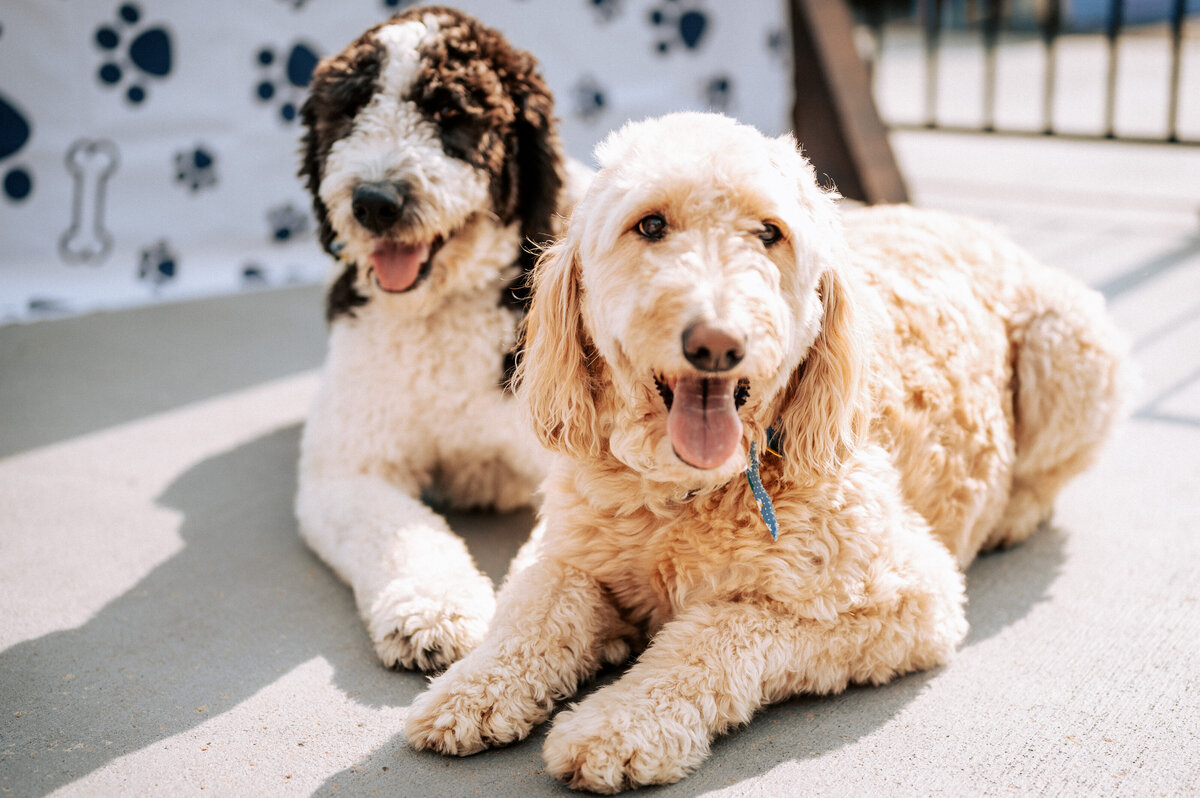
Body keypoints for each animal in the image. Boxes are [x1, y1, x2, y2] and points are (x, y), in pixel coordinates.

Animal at [295, 6, 585, 667]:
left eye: (452, 115)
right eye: (348, 111)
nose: (375, 201)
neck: (440, 313)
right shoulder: (347, 468)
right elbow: (399, 531)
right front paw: (431, 612)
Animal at [403, 112, 1123, 792]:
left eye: (768, 233)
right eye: (651, 224)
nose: (717, 342)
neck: (685, 494)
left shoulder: (907, 598)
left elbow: (717, 634)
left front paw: (620, 725)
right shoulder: (561, 549)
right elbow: (536, 610)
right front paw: (471, 689)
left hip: (1072, 345)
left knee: (1050, 474)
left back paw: (1011, 514)